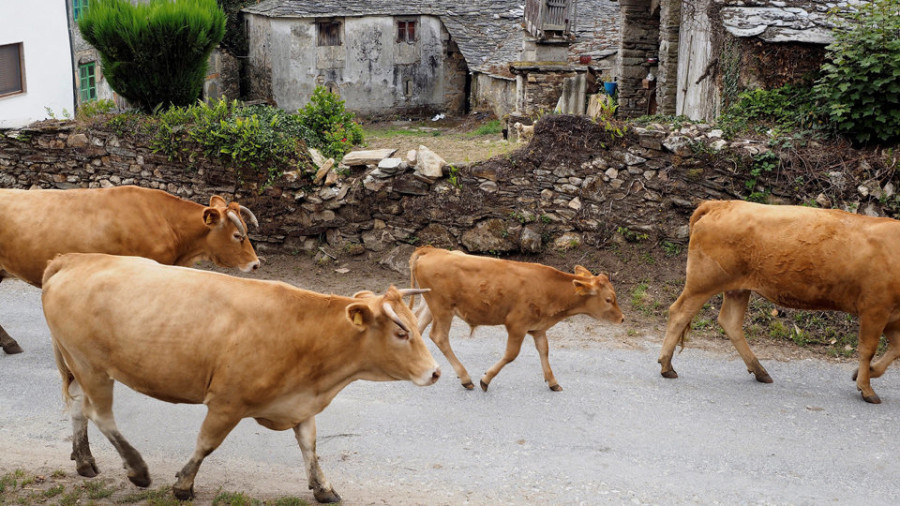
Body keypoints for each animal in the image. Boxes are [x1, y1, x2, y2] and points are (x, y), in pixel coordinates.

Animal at [42, 253, 440, 502]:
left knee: (78, 407)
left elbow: (310, 446)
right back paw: (138, 470)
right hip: (91, 365)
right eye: (401, 331)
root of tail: (74, 258)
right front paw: (183, 485)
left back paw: (84, 462)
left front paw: (323, 488)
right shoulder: (227, 402)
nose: (435, 372)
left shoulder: (300, 402)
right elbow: (206, 443)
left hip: (77, 364)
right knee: (101, 414)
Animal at [410, 246, 624, 392]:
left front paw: (553, 382)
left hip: (430, 306)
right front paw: (486, 379)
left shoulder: (538, 327)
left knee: (417, 326)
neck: (549, 288)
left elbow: (544, 350)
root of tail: (431, 250)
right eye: (608, 299)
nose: (622, 318)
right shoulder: (517, 324)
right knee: (439, 336)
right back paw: (465, 378)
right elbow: (511, 354)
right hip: (442, 309)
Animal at [652, 201, 900, 404]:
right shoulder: (875, 308)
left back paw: (759, 370)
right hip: (703, 282)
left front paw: (867, 373)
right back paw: (666, 365)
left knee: (730, 322)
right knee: (679, 312)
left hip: (737, 288)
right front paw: (866, 388)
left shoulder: (892, 316)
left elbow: (895, 349)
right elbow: (868, 349)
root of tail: (720, 203)